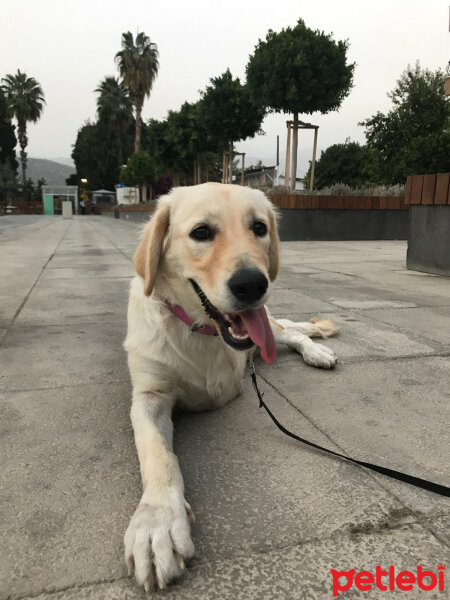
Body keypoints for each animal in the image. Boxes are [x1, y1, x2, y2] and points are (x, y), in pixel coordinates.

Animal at [123, 183, 338, 592]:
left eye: (259, 228)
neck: (202, 331)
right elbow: (158, 453)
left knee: (292, 333)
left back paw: (316, 350)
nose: (253, 284)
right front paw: (157, 523)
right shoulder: (149, 396)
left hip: (269, 329)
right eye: (202, 232)